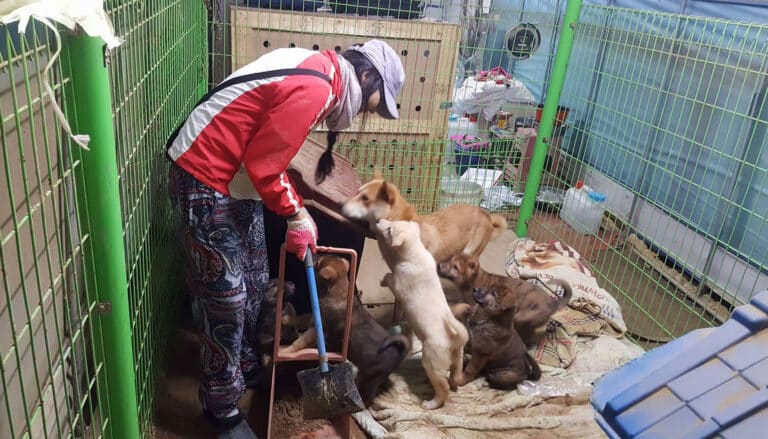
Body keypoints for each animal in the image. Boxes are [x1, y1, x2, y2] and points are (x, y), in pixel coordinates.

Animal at [284, 254, 412, 406]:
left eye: (318, 262)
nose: (311, 254)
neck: (338, 292)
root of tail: (399, 353)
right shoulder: (312, 321)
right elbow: (299, 324)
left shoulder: (316, 330)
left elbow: (299, 342)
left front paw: (287, 351)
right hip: (368, 374)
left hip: (372, 378)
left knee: (368, 395)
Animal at [374, 218, 468, 410]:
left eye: (389, 229)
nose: (378, 220)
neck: (415, 252)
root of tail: (454, 339)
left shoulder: (398, 283)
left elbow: (389, 276)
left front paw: (382, 281)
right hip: (457, 359)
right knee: (455, 377)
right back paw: (454, 384)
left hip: (431, 361)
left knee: (443, 388)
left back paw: (431, 404)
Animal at [438, 254, 568, 348]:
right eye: (450, 259)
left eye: (455, 267)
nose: (438, 265)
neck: (473, 280)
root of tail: (553, 302)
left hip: (521, 317)